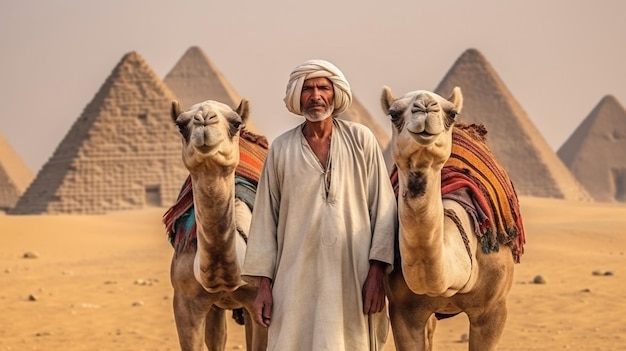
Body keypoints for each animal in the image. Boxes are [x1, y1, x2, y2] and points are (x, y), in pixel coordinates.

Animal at [163, 99, 266, 351]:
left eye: (236, 123)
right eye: (180, 124)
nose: (204, 119)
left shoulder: (261, 303)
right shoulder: (184, 302)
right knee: (217, 337)